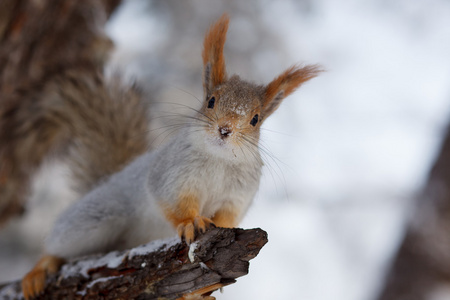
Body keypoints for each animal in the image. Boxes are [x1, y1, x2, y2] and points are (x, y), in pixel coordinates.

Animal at [21, 13, 320, 298]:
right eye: (210, 101)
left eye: (256, 119)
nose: (225, 129)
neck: (219, 160)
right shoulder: (173, 176)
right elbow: (175, 203)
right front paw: (190, 222)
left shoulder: (238, 195)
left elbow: (227, 217)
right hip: (93, 219)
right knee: (58, 243)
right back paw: (40, 268)